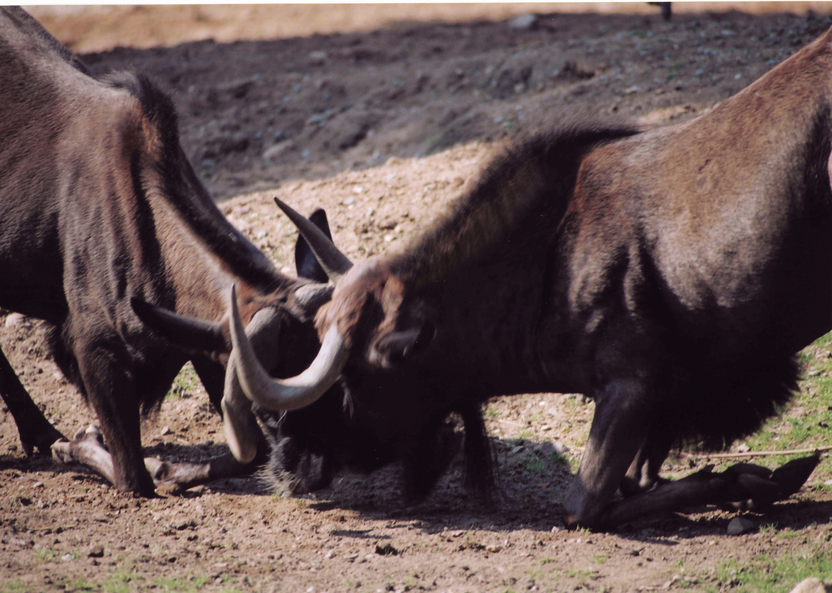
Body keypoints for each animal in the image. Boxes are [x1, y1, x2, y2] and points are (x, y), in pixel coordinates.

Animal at [0, 9, 334, 498]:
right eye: (269, 409)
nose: (312, 473)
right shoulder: (94, 353)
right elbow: (133, 477)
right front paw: (81, 445)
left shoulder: (208, 343)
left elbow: (245, 454)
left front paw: (173, 470)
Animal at [226, 26, 832, 528]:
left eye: (351, 380)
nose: (288, 462)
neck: (550, 261)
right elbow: (634, 482)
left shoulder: (633, 389)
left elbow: (581, 506)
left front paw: (759, 479)